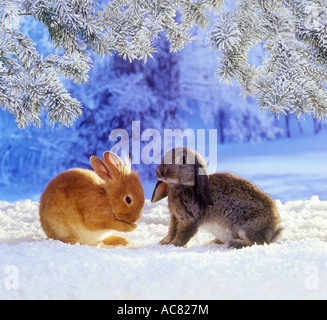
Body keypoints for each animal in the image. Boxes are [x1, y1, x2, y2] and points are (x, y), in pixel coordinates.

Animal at [151, 148, 282, 250]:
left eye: (183, 159)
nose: (159, 171)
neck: (180, 186)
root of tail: (274, 229)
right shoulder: (175, 217)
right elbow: (172, 231)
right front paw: (163, 243)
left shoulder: (189, 219)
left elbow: (182, 235)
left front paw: (174, 245)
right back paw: (216, 241)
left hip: (248, 226)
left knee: (259, 242)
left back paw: (234, 244)